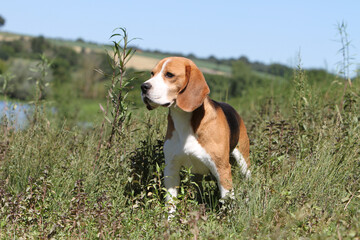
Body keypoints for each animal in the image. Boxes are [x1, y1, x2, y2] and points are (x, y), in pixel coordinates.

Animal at [141, 57, 250, 213]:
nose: (143, 87)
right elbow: (171, 203)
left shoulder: (222, 169)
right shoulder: (171, 169)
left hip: (243, 162)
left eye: (169, 75)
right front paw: (169, 219)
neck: (184, 122)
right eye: (152, 73)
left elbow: (227, 202)